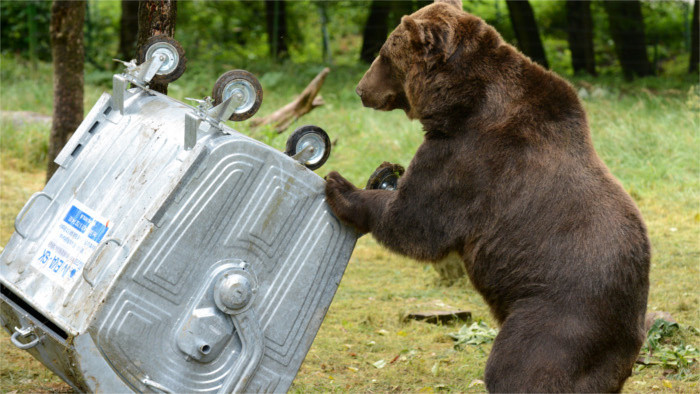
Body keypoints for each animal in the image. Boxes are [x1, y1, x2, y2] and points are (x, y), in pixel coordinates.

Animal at [326, 0, 652, 390]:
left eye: (384, 54)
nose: (361, 89)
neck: (459, 102)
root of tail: (630, 340)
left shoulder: (470, 158)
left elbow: (415, 221)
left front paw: (341, 186)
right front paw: (382, 171)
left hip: (559, 317)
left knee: (518, 366)